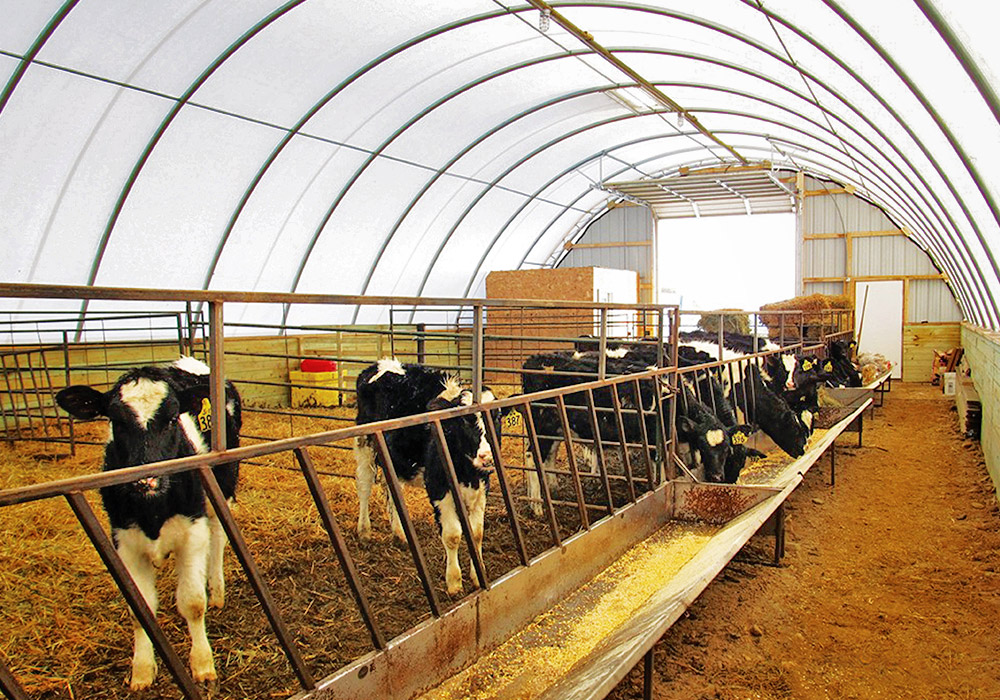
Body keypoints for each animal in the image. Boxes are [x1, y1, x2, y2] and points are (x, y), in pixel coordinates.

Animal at [54, 356, 240, 688]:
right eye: (117, 421)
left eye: (172, 418)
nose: (146, 480)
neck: (152, 510)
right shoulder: (124, 542)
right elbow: (139, 610)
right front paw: (141, 669)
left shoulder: (192, 531)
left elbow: (193, 602)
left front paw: (202, 664)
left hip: (224, 482)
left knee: (218, 534)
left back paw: (216, 590)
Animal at [356, 360, 504, 596]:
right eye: (465, 420)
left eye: (497, 417)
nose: (487, 456)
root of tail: (382, 363)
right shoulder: (438, 486)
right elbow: (453, 534)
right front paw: (454, 583)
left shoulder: (482, 485)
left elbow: (477, 533)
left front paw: (478, 575)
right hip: (365, 442)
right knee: (364, 485)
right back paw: (364, 532)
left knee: (391, 488)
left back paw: (400, 535)